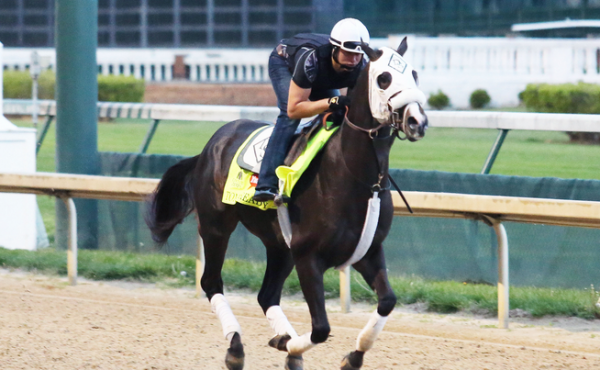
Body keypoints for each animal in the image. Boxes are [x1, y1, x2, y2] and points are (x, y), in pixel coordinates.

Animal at [145, 38, 426, 370]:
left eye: (415, 74)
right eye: (384, 79)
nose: (417, 121)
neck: (354, 175)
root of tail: (210, 146)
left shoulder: (367, 252)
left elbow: (387, 301)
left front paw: (350, 355)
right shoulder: (308, 257)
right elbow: (321, 328)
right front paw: (291, 347)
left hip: (279, 244)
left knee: (266, 295)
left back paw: (283, 339)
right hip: (216, 227)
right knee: (211, 282)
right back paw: (236, 347)